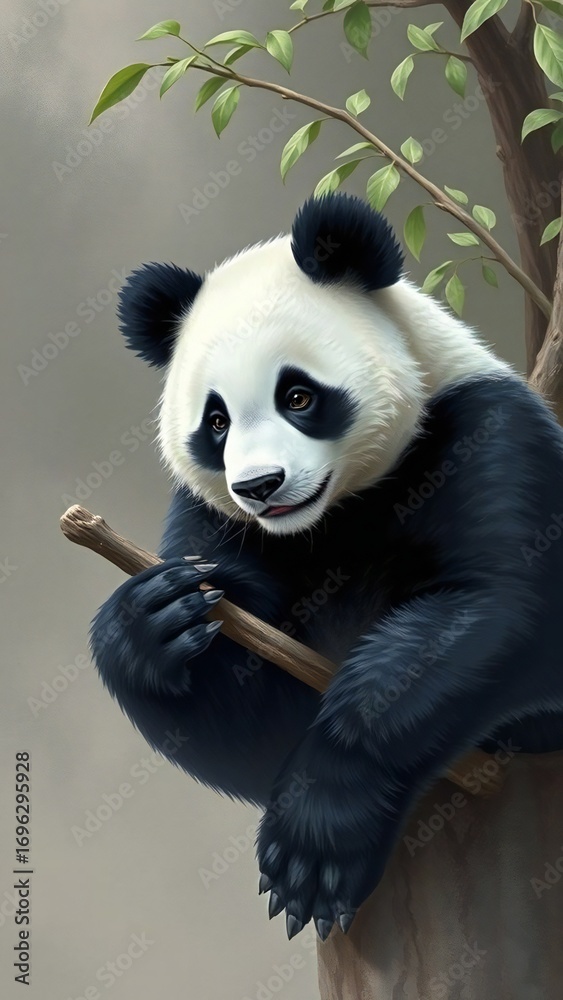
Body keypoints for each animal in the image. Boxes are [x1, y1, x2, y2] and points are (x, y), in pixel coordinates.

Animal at [91, 192, 563, 942]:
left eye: (298, 396)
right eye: (216, 421)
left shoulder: (485, 435)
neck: (332, 515)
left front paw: (315, 844)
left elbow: (495, 608)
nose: (260, 486)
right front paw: (154, 622)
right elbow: (257, 725)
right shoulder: (216, 520)